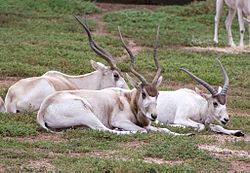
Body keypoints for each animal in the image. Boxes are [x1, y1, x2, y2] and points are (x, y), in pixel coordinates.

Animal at [36, 24, 191, 136]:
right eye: (143, 94)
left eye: (157, 94)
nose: (154, 116)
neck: (128, 100)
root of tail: (44, 108)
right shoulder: (120, 120)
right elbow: (143, 130)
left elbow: (164, 129)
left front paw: (186, 134)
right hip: (87, 114)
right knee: (105, 130)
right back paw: (120, 131)